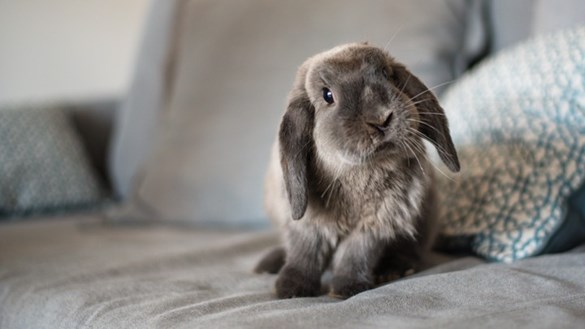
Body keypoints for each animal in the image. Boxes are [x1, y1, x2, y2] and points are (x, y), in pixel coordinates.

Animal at [256, 42, 460, 298]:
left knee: (411, 250)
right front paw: (290, 289)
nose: (381, 118)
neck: (358, 172)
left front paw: (347, 288)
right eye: (327, 95)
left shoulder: (375, 225)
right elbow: (305, 252)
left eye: (387, 75)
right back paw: (268, 264)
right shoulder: (307, 223)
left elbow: (355, 255)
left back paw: (394, 270)